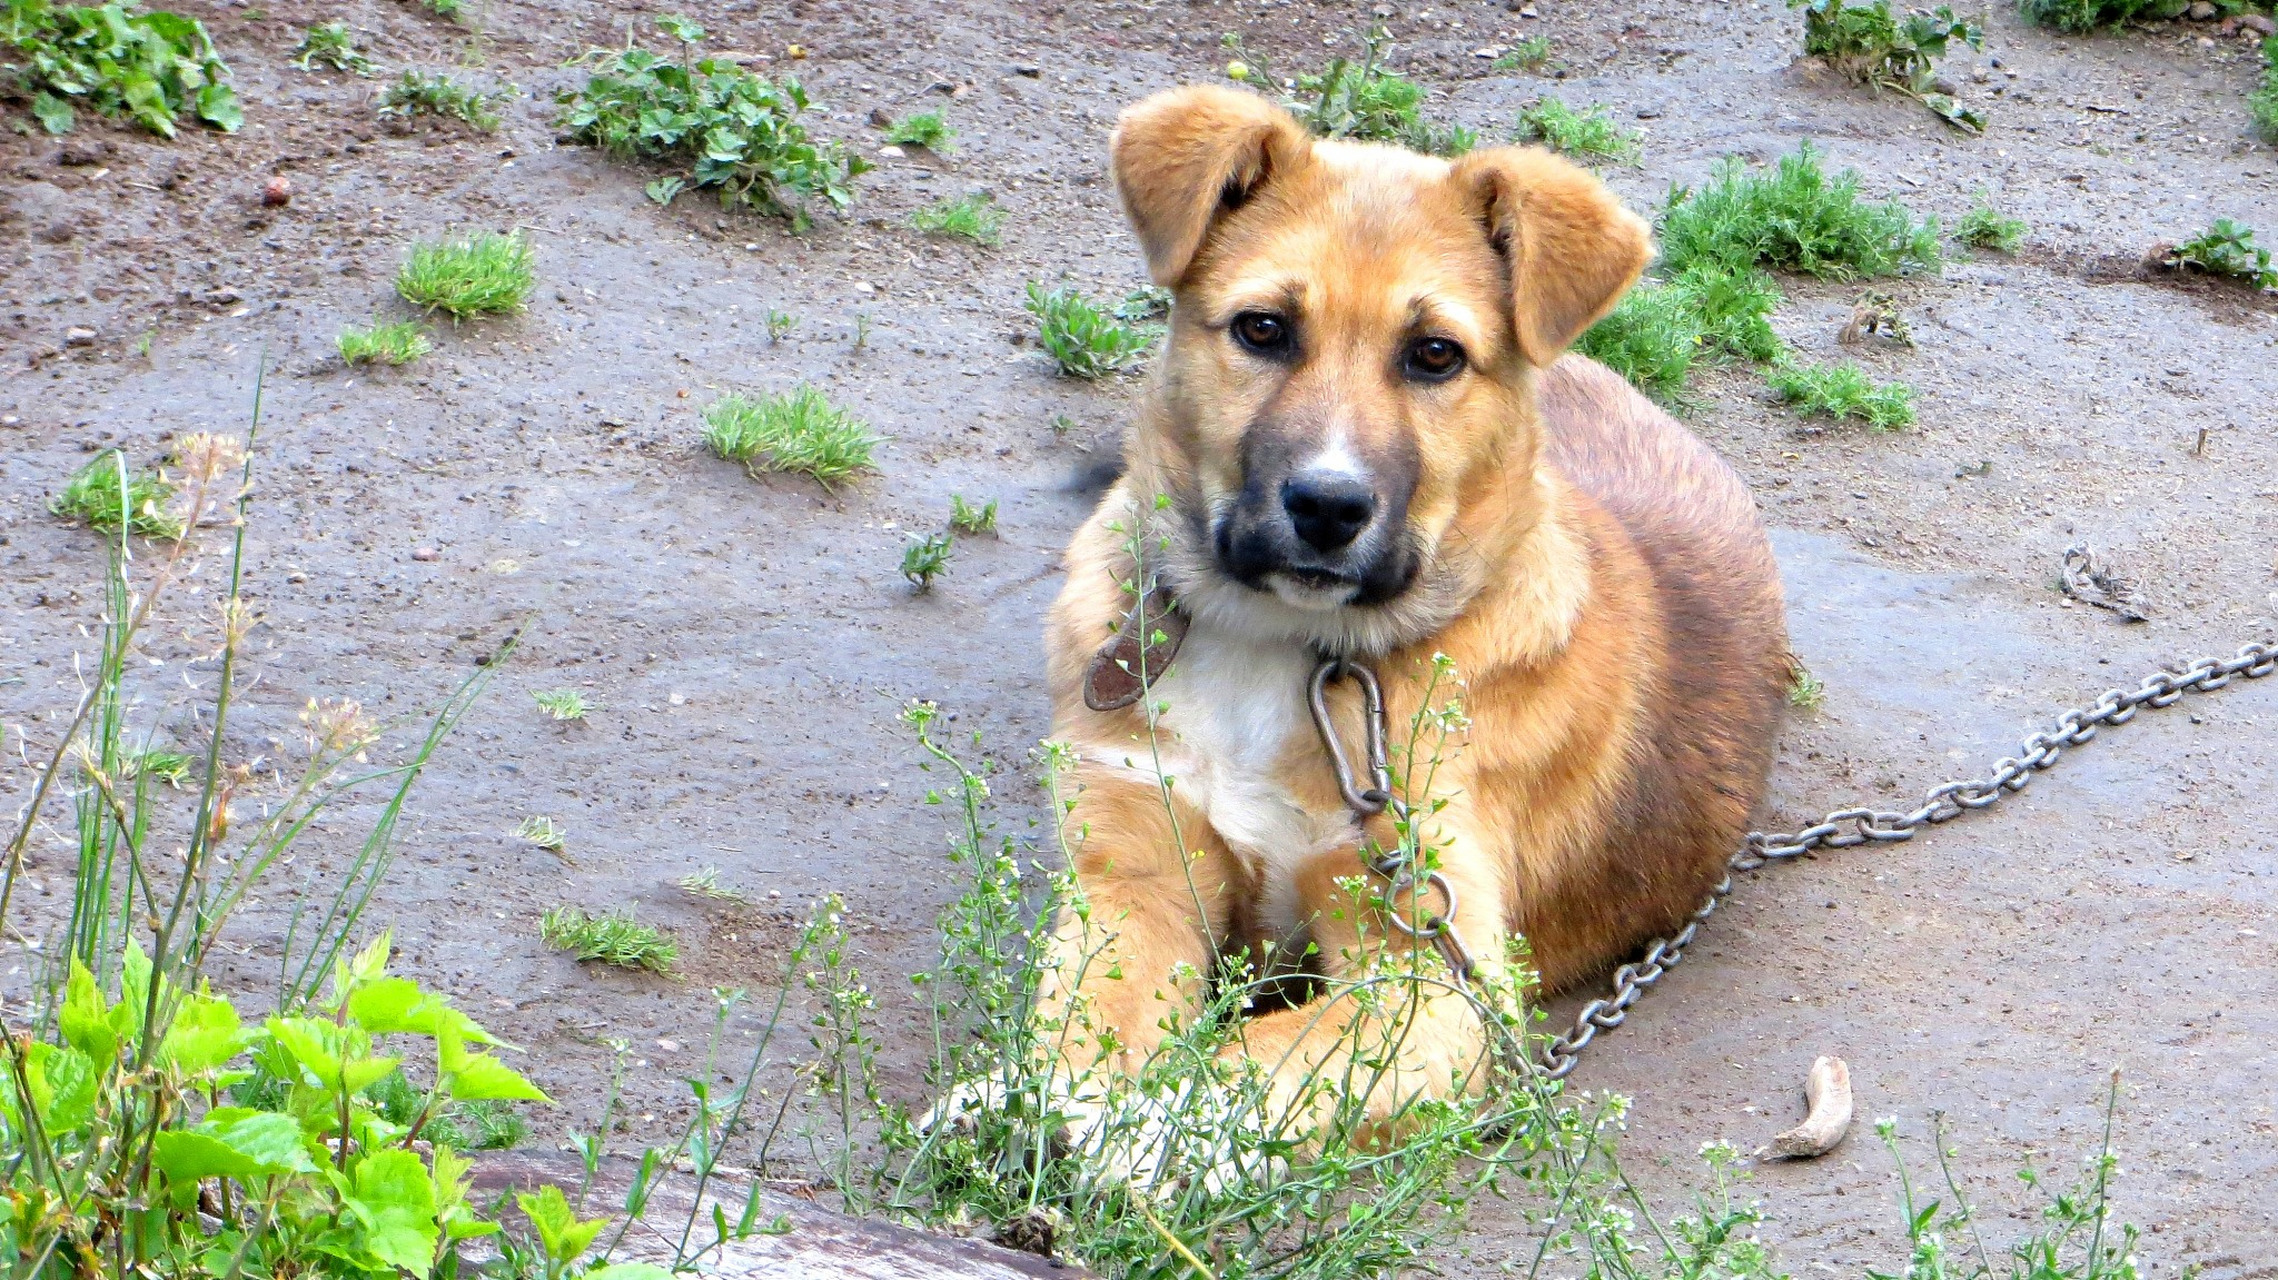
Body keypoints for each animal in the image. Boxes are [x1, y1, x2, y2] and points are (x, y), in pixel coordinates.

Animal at [1038, 84, 1795, 1129]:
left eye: (1435, 355)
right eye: (1263, 329)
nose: (1327, 507)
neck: (1282, 644)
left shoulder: (1429, 981)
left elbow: (1242, 1066)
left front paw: (1137, 1139)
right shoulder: (1130, 878)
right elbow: (1084, 1034)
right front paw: (1033, 1116)